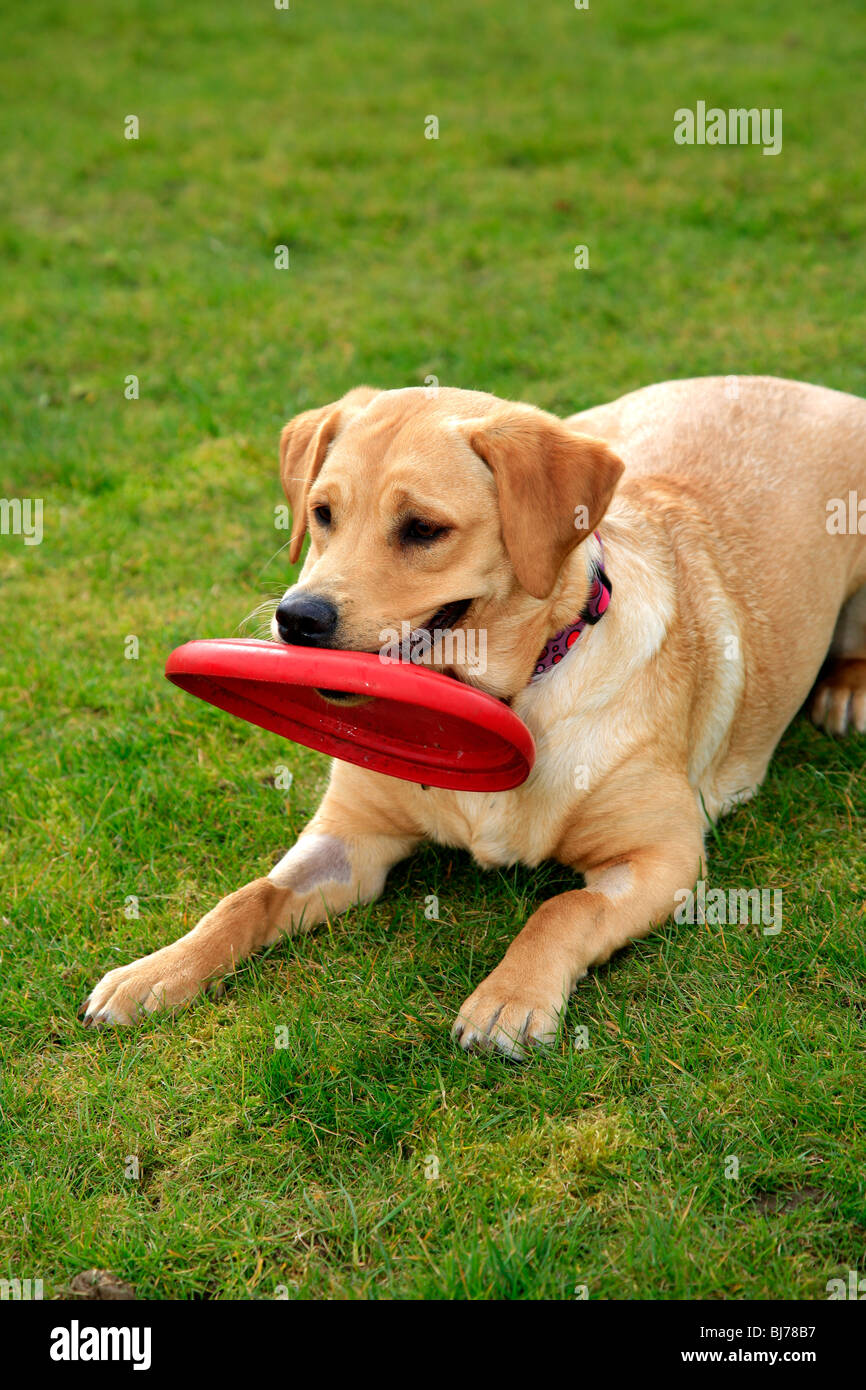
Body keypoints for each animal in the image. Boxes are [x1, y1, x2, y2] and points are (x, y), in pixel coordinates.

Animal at [83, 378, 866, 1050]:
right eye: (322, 514)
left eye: (423, 529)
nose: (297, 618)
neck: (510, 692)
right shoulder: (347, 842)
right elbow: (247, 898)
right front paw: (156, 972)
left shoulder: (663, 856)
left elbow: (562, 909)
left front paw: (508, 998)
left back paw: (847, 691)